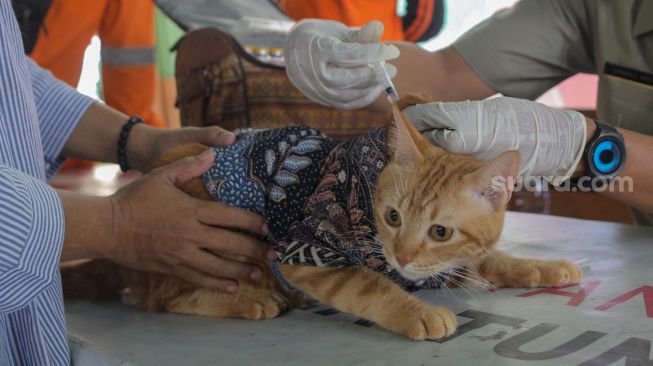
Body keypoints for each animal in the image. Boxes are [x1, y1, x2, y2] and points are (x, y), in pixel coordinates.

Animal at [62, 95, 580, 340]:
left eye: (439, 231)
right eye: (392, 217)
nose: (401, 256)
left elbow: (484, 258)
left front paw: (536, 267)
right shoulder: (302, 252)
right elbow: (367, 286)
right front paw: (415, 311)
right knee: (163, 299)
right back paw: (248, 299)